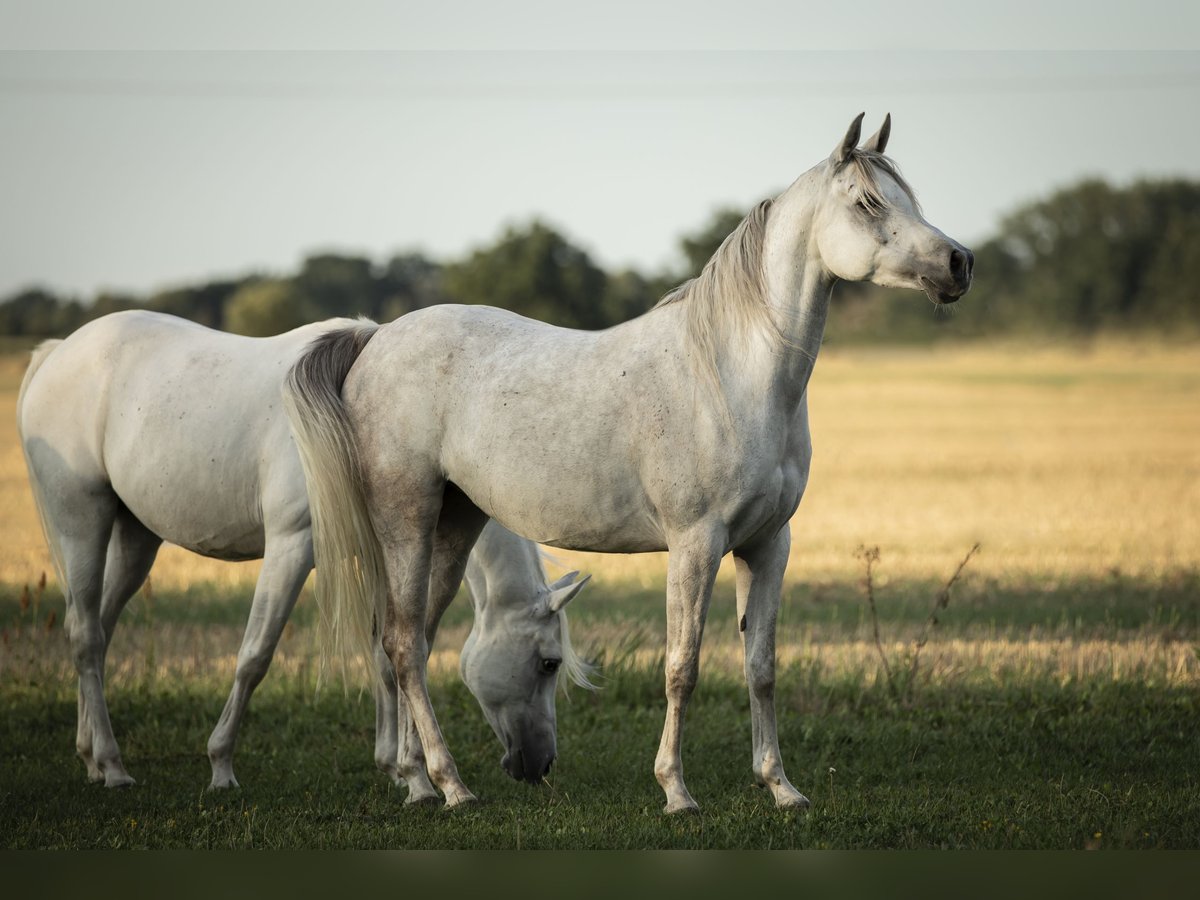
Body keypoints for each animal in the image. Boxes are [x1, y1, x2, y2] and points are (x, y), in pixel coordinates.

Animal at [15, 311, 591, 797]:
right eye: (548, 663)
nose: (539, 765)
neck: (354, 414)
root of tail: (58, 352)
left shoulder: (379, 556)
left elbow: (386, 655)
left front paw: (400, 771)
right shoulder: (291, 547)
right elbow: (255, 656)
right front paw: (221, 767)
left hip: (137, 538)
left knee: (97, 630)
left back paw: (92, 758)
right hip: (82, 523)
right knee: (86, 635)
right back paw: (113, 767)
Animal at [283, 113, 974, 813]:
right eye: (868, 202)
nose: (959, 262)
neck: (732, 376)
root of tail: (376, 339)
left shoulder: (768, 545)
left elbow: (761, 667)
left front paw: (781, 787)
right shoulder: (696, 544)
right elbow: (682, 667)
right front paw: (677, 791)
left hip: (454, 524)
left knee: (414, 640)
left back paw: (419, 780)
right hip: (407, 520)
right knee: (400, 643)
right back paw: (450, 785)